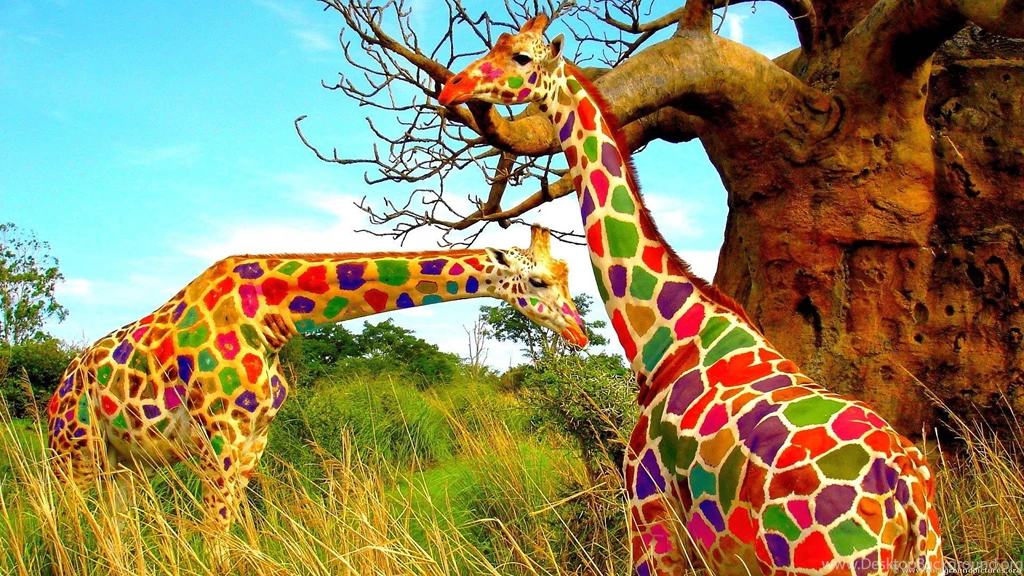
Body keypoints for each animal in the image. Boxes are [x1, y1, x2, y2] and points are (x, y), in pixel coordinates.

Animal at [47, 224, 587, 530]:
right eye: (538, 280)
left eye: (566, 276)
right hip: (73, 458)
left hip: (122, 464)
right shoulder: (219, 439)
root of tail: (57, 391)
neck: (272, 314)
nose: (580, 334)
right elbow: (214, 538)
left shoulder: (253, 442)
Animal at [439, 15, 943, 576]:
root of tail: (907, 500)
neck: (664, 338)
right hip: (927, 559)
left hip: (820, 561)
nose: (452, 87)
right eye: (497, 44)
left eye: (522, 58)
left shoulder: (648, 506)